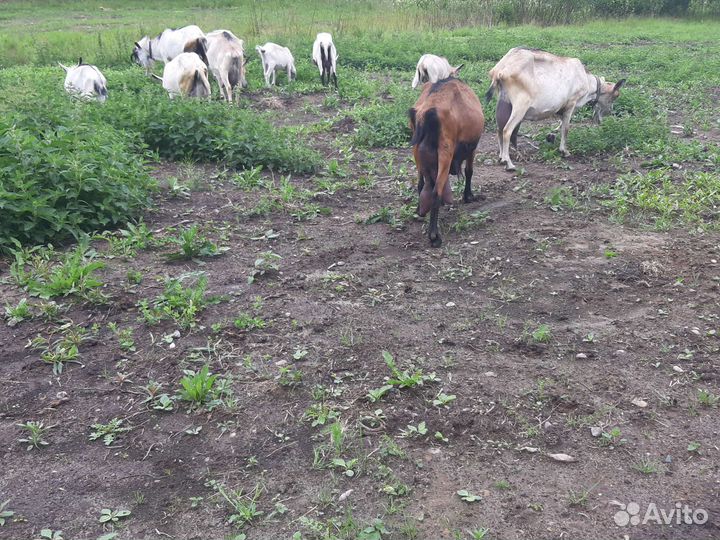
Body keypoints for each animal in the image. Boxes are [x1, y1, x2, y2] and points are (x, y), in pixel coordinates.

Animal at [409, 78, 485, 247]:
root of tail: (427, 114)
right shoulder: (472, 147)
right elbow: (469, 171)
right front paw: (468, 196)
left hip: (417, 153)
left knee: (421, 185)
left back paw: (420, 211)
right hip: (445, 151)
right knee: (435, 191)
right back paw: (434, 236)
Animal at [486, 47, 625, 170]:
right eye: (615, 96)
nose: (602, 119)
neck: (586, 79)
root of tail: (500, 71)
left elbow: (561, 125)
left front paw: (552, 139)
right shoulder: (571, 103)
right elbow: (566, 128)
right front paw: (564, 151)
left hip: (504, 102)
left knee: (499, 129)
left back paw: (501, 158)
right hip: (520, 105)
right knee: (507, 130)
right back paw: (508, 163)